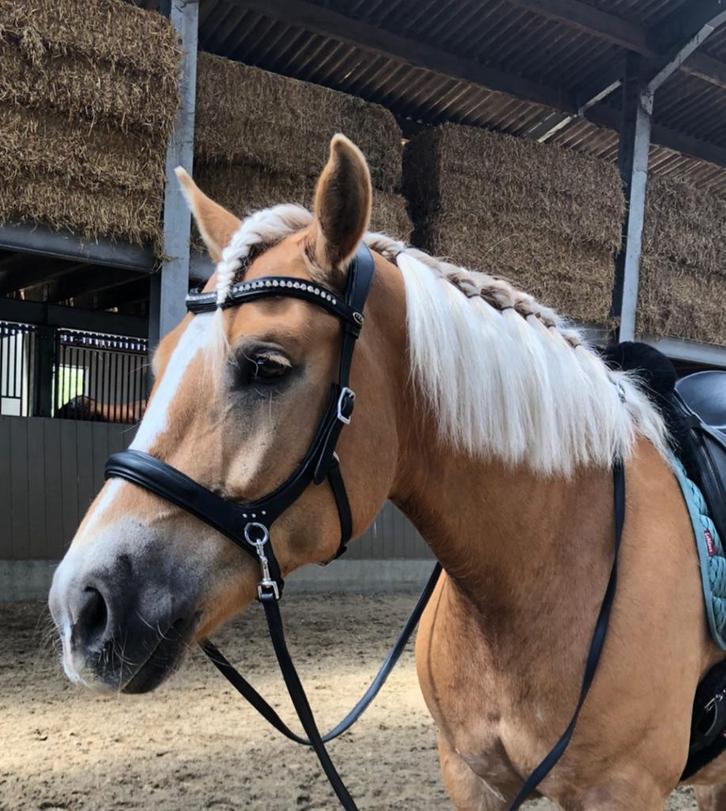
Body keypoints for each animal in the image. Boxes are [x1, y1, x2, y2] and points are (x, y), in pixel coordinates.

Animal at [48, 133, 726, 809]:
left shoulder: (620, 792)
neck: (550, 568)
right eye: (160, 363)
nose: (81, 606)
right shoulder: (471, 776)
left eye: (267, 365)